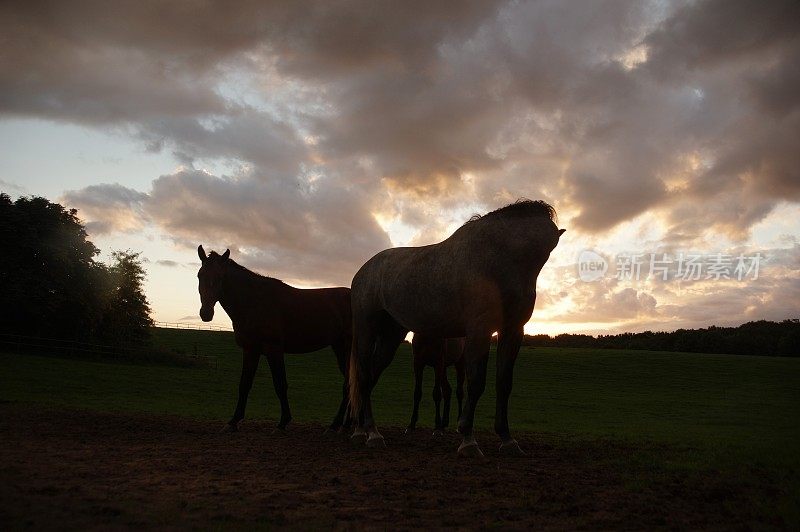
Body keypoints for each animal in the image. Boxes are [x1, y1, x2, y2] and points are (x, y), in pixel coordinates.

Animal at [195, 247, 352, 434]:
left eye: (220, 277)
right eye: (200, 275)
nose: (206, 313)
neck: (254, 302)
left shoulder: (274, 349)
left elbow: (280, 385)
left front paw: (283, 423)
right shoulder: (250, 350)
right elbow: (244, 384)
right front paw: (233, 421)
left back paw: (336, 425)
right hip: (339, 347)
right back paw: (344, 426)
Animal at [348, 201, 564, 458]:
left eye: (546, 252)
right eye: (530, 254)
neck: (496, 262)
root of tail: (363, 271)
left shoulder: (512, 331)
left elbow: (504, 383)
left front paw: (507, 438)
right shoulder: (479, 330)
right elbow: (476, 382)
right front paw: (467, 438)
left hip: (391, 335)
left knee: (370, 376)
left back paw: (362, 429)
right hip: (366, 330)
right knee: (363, 375)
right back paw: (371, 433)